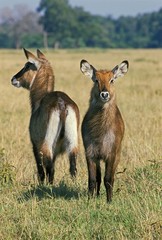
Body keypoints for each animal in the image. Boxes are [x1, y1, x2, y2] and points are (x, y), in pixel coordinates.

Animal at [11, 48, 79, 184]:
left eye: (27, 66)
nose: (13, 78)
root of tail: (62, 104)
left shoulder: (35, 144)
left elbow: (40, 168)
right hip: (73, 142)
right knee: (72, 166)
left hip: (47, 143)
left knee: (48, 167)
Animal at [80, 59, 129, 202]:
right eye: (96, 80)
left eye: (112, 80)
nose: (105, 94)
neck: (100, 131)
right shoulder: (90, 153)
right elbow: (92, 179)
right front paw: (90, 200)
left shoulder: (111, 154)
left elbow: (108, 179)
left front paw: (109, 201)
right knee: (98, 177)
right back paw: (96, 196)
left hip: (117, 155)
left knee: (110, 177)